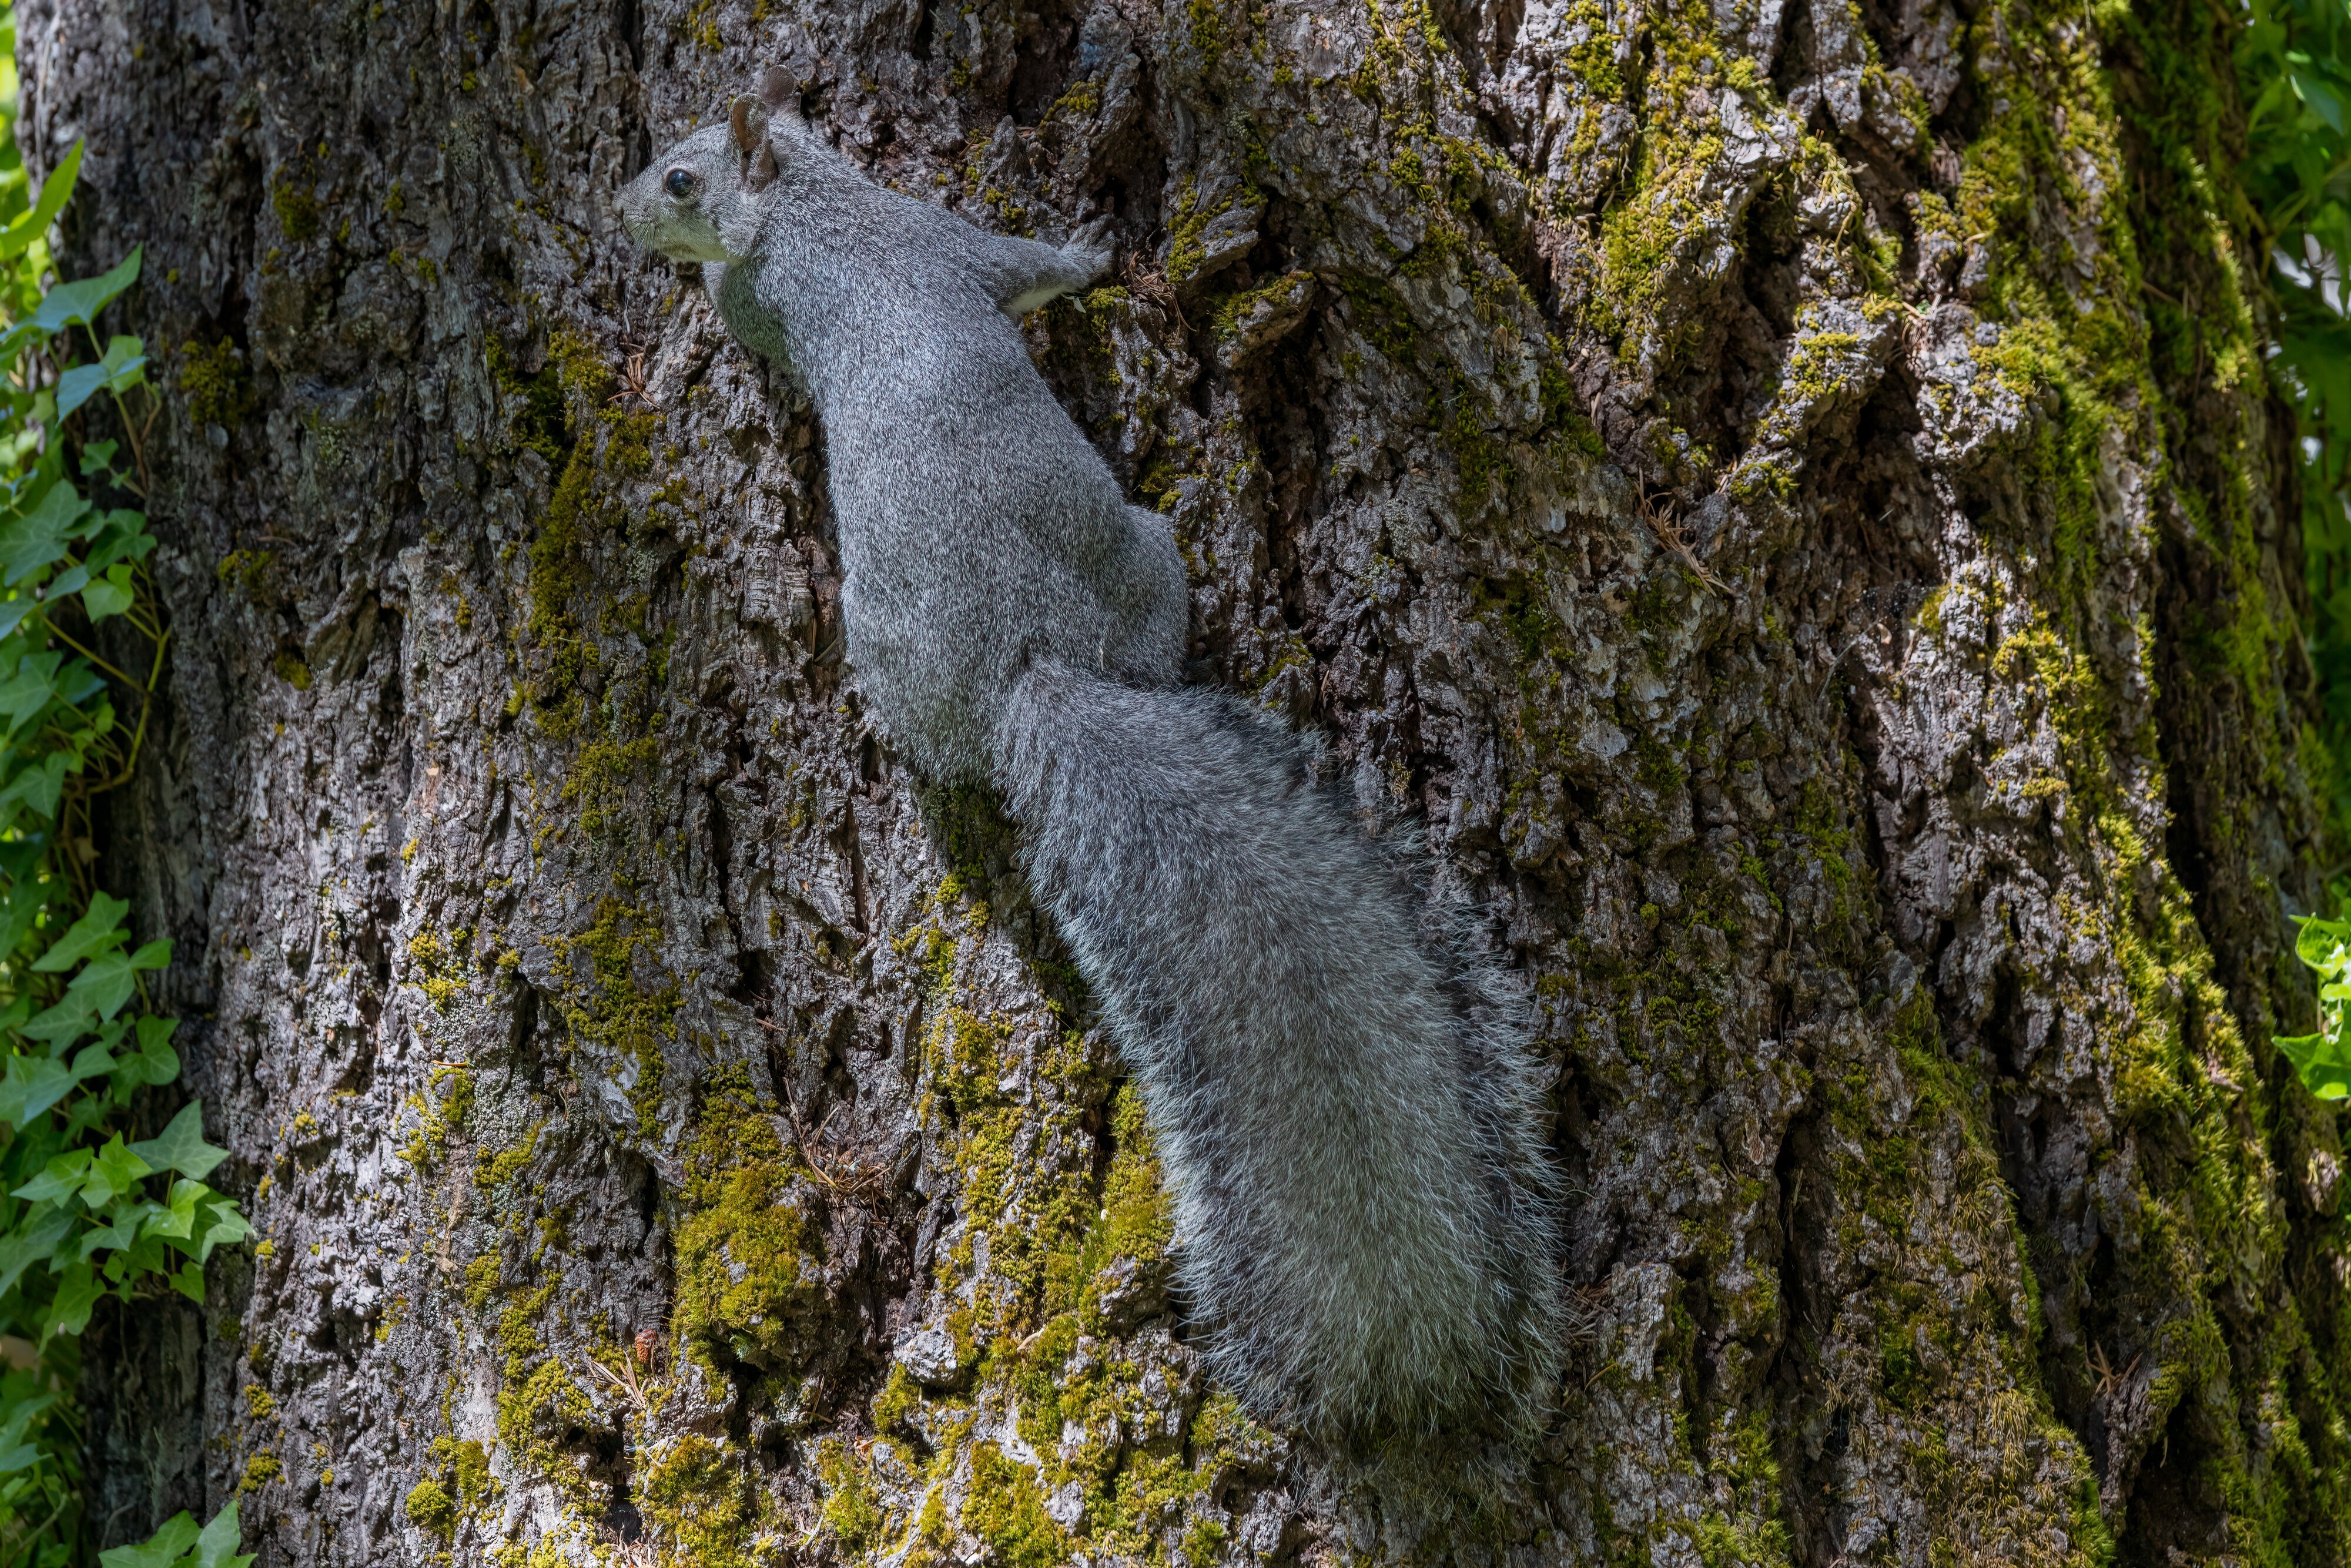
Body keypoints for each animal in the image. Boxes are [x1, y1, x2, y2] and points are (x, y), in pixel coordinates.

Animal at [621, 73, 1561, 1448]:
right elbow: (1034, 273)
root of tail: (1036, 671)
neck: (811, 208)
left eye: (682, 175)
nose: (623, 215)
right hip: (1136, 556)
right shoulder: (933, 255)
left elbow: (1020, 272)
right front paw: (1097, 249)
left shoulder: (915, 249)